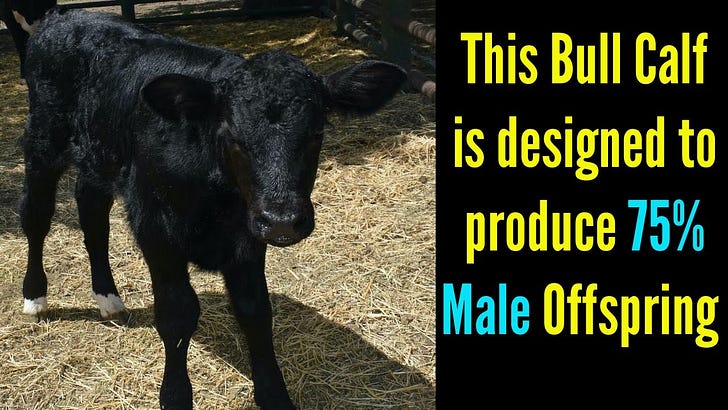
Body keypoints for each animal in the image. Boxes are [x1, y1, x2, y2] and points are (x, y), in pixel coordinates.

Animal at [20, 6, 407, 410]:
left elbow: (256, 311)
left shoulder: (248, 234)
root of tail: (65, 15)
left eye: (317, 133)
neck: (218, 200)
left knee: (92, 214)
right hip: (42, 142)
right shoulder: (156, 227)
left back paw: (108, 299)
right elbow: (178, 314)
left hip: (98, 156)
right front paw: (175, 396)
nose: (283, 220)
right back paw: (34, 297)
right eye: (233, 136)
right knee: (37, 217)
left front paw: (274, 395)